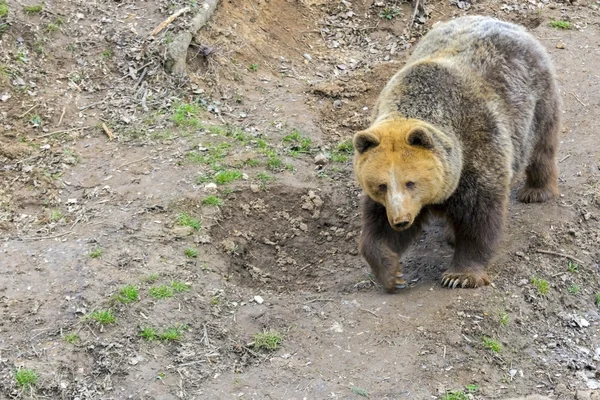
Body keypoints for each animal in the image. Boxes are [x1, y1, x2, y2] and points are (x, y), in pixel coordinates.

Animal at [354, 15, 560, 292]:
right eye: (381, 185)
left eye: (411, 182)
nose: (401, 220)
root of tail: (505, 22)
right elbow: (377, 227)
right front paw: (392, 273)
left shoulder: (478, 146)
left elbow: (480, 216)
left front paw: (460, 275)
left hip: (536, 100)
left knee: (541, 147)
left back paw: (537, 191)